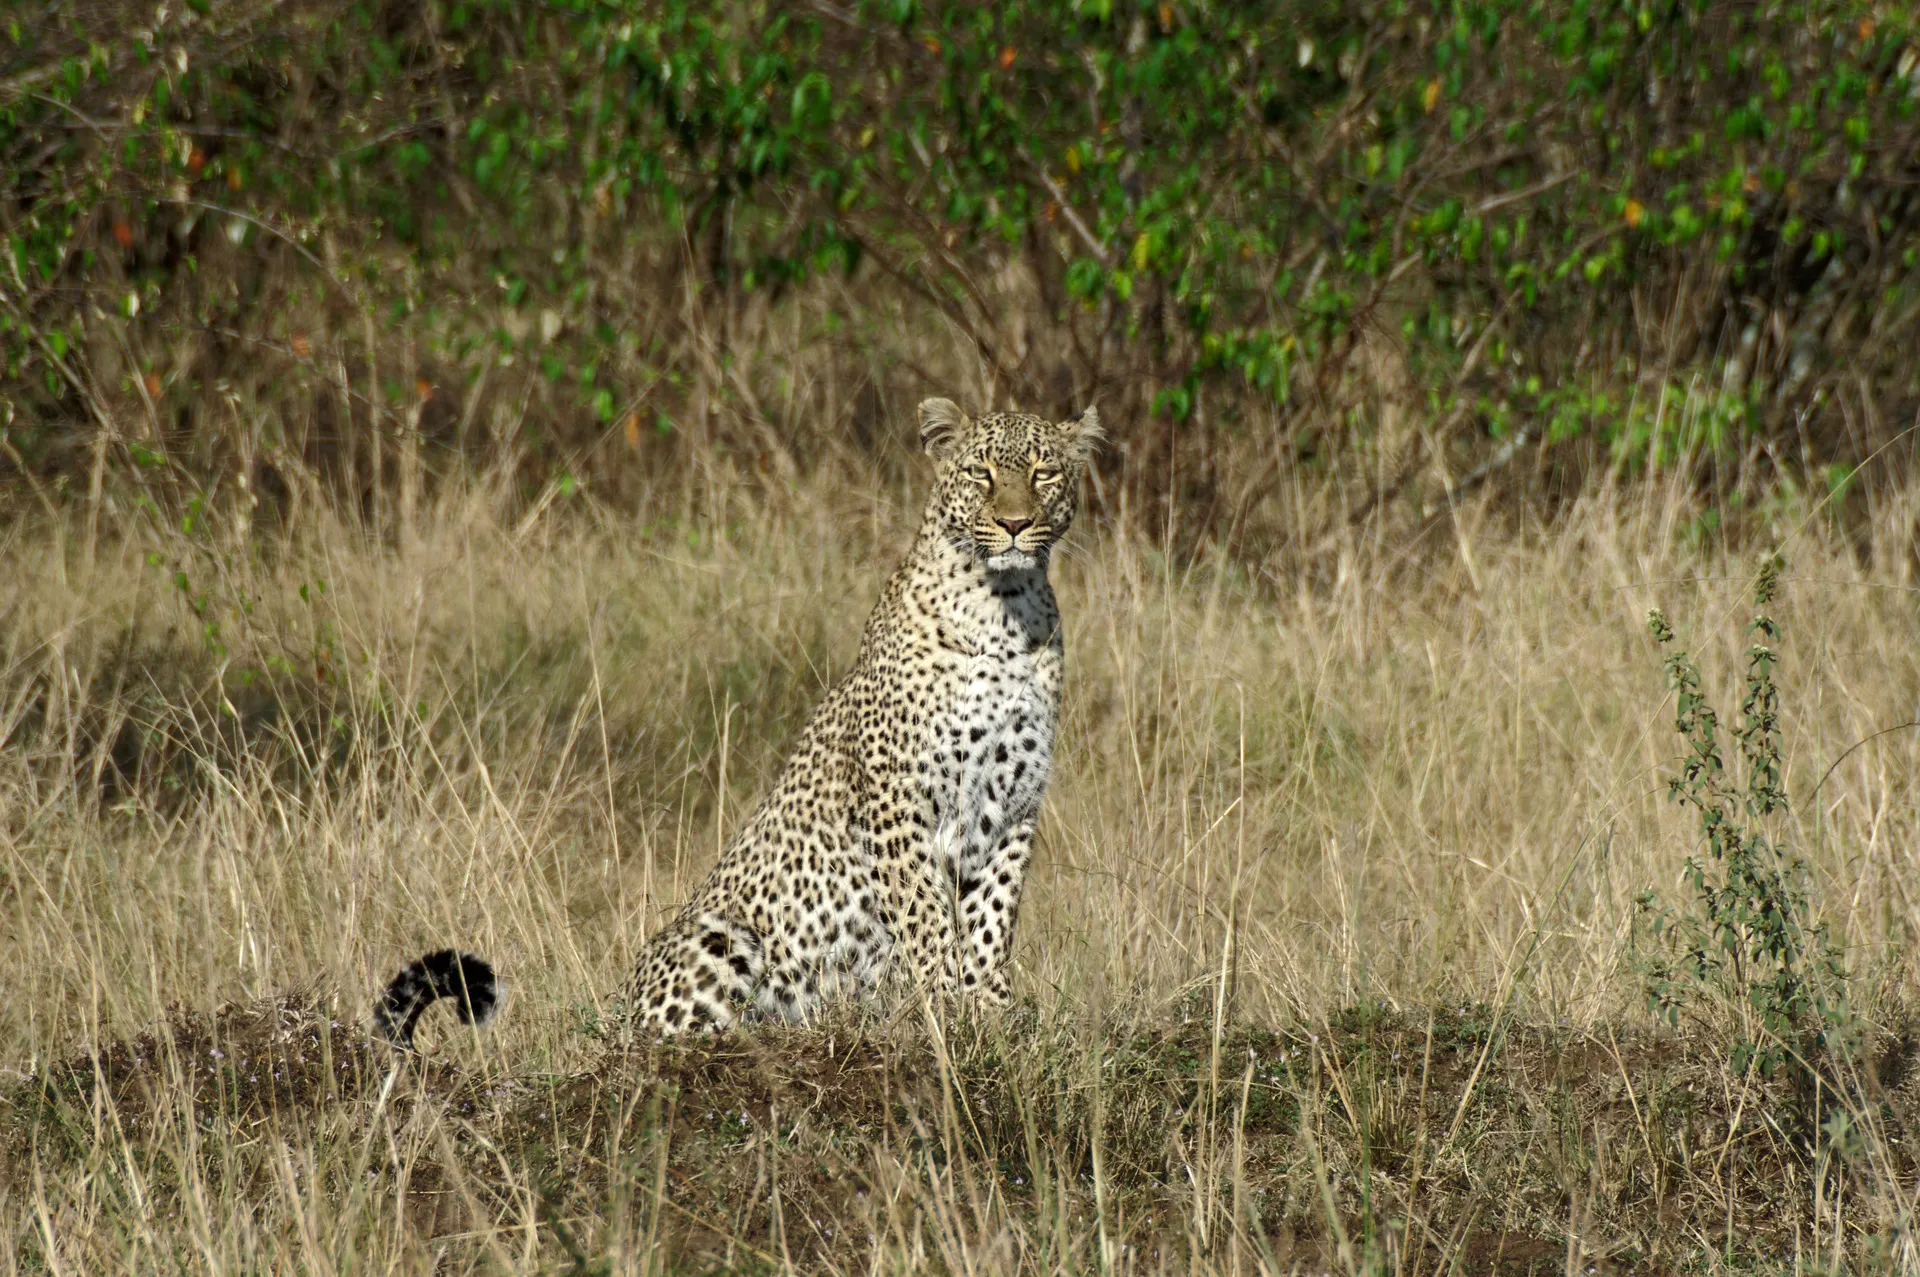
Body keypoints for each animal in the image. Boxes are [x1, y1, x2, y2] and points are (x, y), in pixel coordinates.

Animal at [374, 399, 1105, 1044]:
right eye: (981, 473)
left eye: (1043, 472)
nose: (1014, 524)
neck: (1005, 608)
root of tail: (615, 1014)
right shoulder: (900, 801)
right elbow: (927, 920)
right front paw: (947, 1007)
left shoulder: (1015, 804)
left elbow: (993, 919)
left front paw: (991, 1008)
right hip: (718, 937)